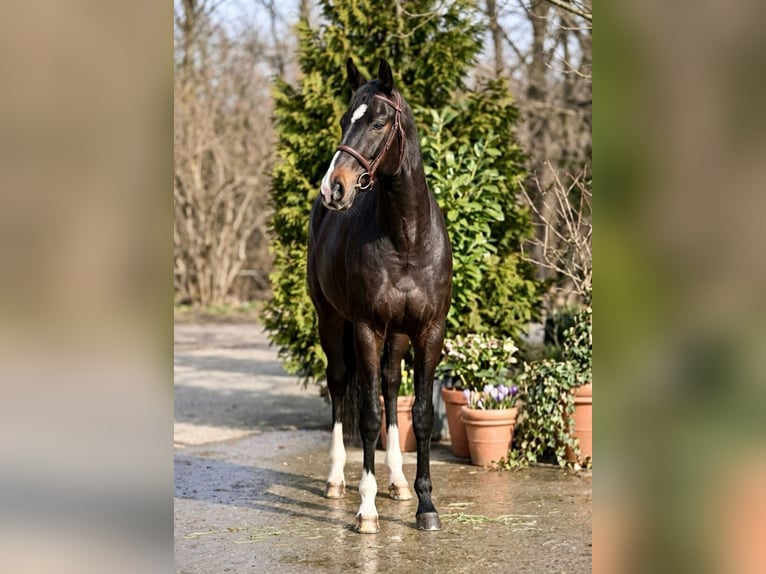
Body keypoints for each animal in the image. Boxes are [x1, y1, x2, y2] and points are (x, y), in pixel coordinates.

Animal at [307, 57, 453, 534]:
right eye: (343, 120)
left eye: (378, 121)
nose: (333, 188)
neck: (406, 238)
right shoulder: (367, 328)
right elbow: (367, 415)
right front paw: (366, 509)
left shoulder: (428, 331)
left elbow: (420, 415)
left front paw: (426, 506)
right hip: (331, 320)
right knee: (339, 383)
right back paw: (337, 480)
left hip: (399, 334)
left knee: (390, 386)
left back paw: (398, 482)